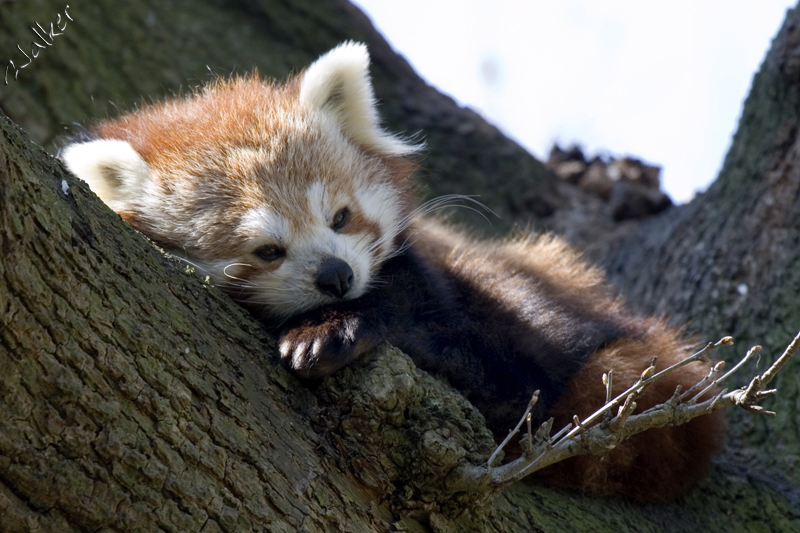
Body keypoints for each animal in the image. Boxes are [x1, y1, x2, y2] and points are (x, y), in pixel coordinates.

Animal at [61, 41, 724, 498]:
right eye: (267, 250)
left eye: (340, 216)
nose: (336, 278)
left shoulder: (428, 275)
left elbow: (448, 333)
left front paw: (330, 332)